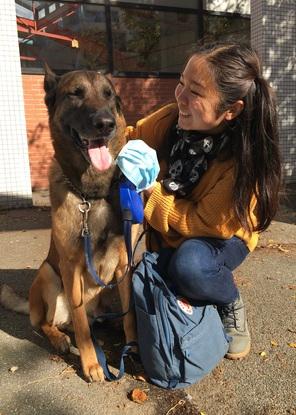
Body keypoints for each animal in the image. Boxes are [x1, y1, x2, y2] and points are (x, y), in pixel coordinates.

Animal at [27, 68, 138, 384]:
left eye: (108, 95)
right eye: (75, 94)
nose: (105, 124)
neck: (92, 195)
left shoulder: (124, 266)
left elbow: (130, 315)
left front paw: (132, 345)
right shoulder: (70, 268)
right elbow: (81, 327)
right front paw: (91, 364)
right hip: (48, 273)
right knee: (47, 323)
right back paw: (59, 338)